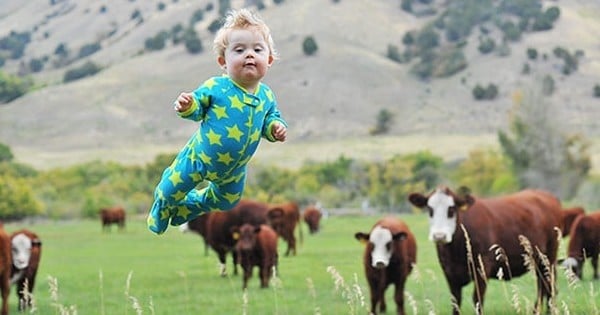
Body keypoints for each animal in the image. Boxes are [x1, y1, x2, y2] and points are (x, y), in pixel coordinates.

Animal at [408, 186, 564, 315]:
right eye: (430, 210)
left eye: (451, 209)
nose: (439, 236)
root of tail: (546, 195)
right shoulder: (449, 271)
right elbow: (455, 302)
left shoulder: (482, 266)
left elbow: (477, 300)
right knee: (543, 286)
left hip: (549, 257)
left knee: (549, 286)